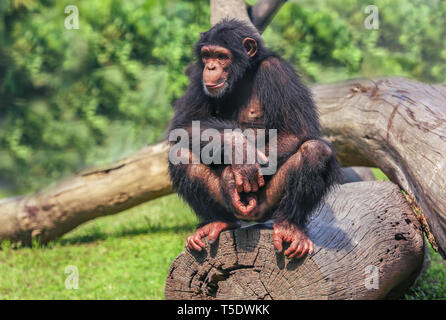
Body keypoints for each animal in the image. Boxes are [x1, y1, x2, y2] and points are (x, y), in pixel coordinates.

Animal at [169, 19, 340, 260]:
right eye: (207, 55)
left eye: (221, 56)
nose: (210, 67)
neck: (241, 76)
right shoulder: (197, 78)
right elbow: (183, 126)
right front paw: (236, 150)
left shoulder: (278, 72)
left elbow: (297, 130)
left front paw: (235, 170)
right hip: (229, 206)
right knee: (180, 154)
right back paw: (217, 221)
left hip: (267, 206)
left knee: (315, 150)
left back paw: (290, 227)